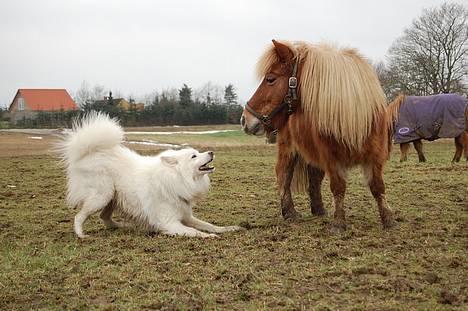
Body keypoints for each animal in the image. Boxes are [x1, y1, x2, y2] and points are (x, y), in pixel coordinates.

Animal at [55, 112, 241, 239]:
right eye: (194, 156)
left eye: (198, 152)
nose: (211, 152)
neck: (176, 179)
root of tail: (88, 153)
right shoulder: (171, 223)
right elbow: (195, 231)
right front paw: (209, 236)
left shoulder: (186, 216)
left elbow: (209, 225)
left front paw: (228, 229)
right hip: (101, 196)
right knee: (79, 216)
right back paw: (81, 234)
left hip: (112, 198)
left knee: (105, 218)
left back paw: (122, 226)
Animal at [239, 40, 396, 232]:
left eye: (270, 79)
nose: (245, 119)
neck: (351, 115)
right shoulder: (332, 159)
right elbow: (338, 187)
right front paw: (339, 223)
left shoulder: (375, 157)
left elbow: (378, 187)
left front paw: (388, 220)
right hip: (288, 148)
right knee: (283, 174)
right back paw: (289, 212)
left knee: (314, 178)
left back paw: (318, 209)